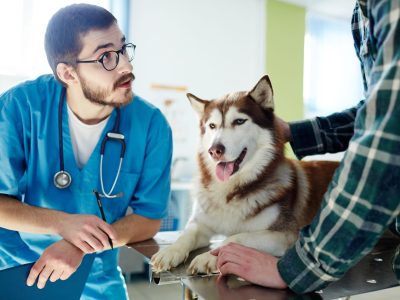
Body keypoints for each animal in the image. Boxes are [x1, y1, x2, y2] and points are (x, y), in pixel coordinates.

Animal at [150, 74, 338, 274]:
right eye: (212, 125)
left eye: (239, 121)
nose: (214, 150)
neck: (232, 190)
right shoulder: (201, 223)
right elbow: (187, 234)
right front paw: (171, 251)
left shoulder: (286, 236)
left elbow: (236, 237)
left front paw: (209, 256)